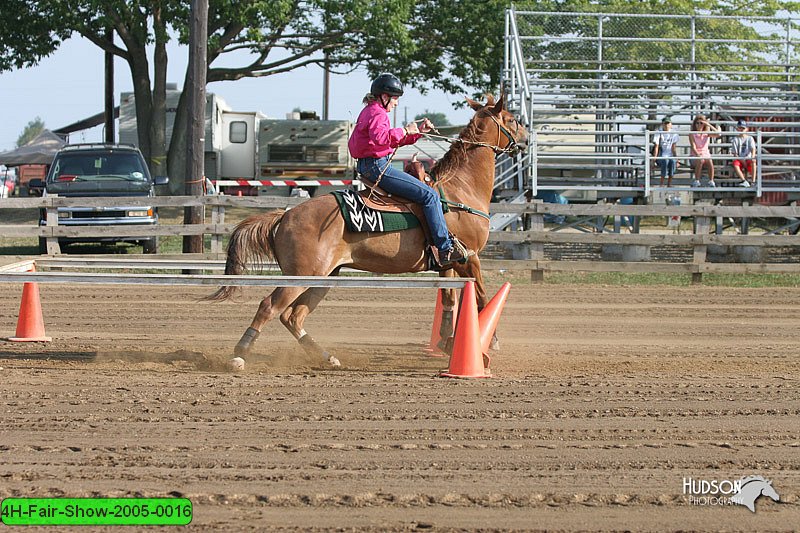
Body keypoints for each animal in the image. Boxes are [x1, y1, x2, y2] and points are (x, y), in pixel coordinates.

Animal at [208, 92, 532, 366]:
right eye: (512, 119)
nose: (528, 139)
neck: (460, 189)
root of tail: (285, 215)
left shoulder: (449, 262)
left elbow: (452, 301)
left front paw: (448, 342)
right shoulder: (471, 257)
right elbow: (481, 297)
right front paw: (491, 341)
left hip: (323, 278)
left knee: (292, 316)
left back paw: (326, 357)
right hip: (300, 276)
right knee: (269, 307)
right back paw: (239, 356)